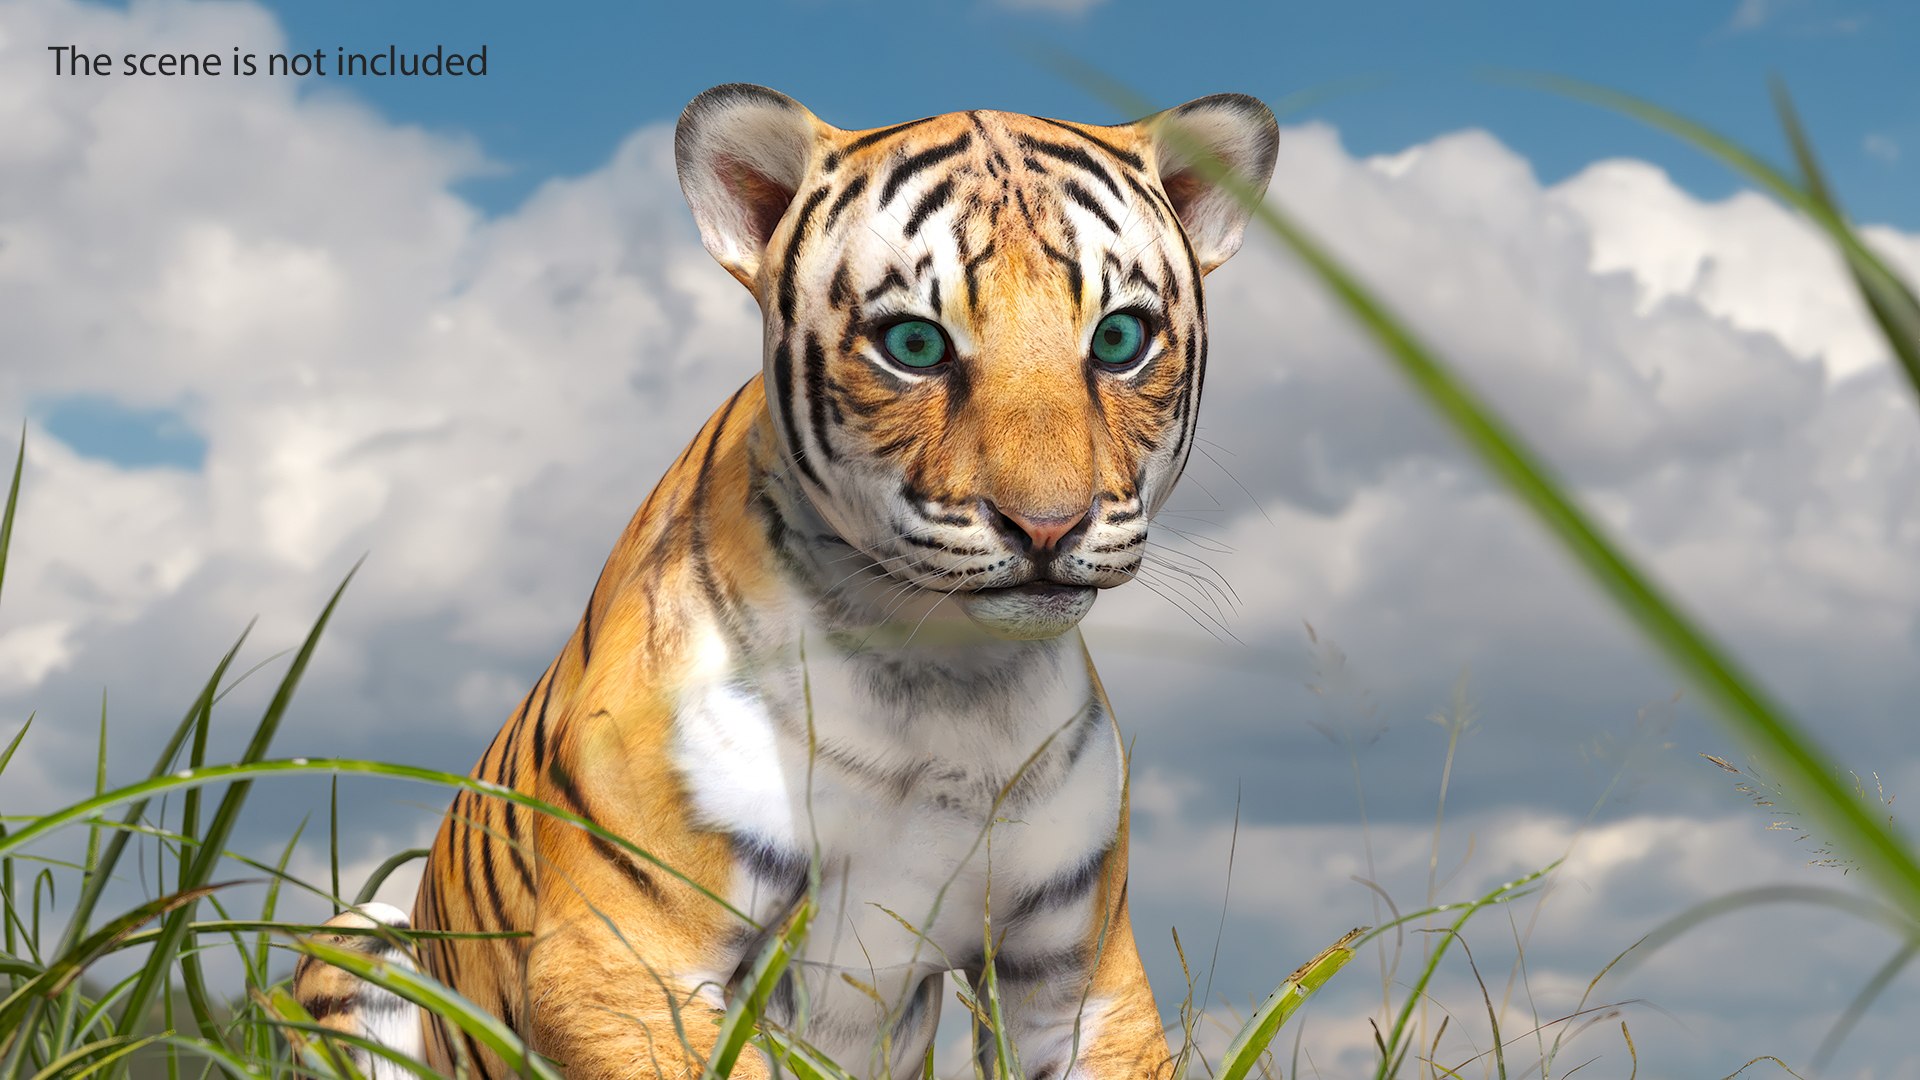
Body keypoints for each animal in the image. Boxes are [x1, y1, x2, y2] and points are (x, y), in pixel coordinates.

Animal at [292, 83, 1277, 1079]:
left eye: (1118, 338)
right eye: (914, 344)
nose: (1047, 525)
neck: (939, 676)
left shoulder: (1077, 982)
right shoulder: (622, 961)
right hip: (362, 927)